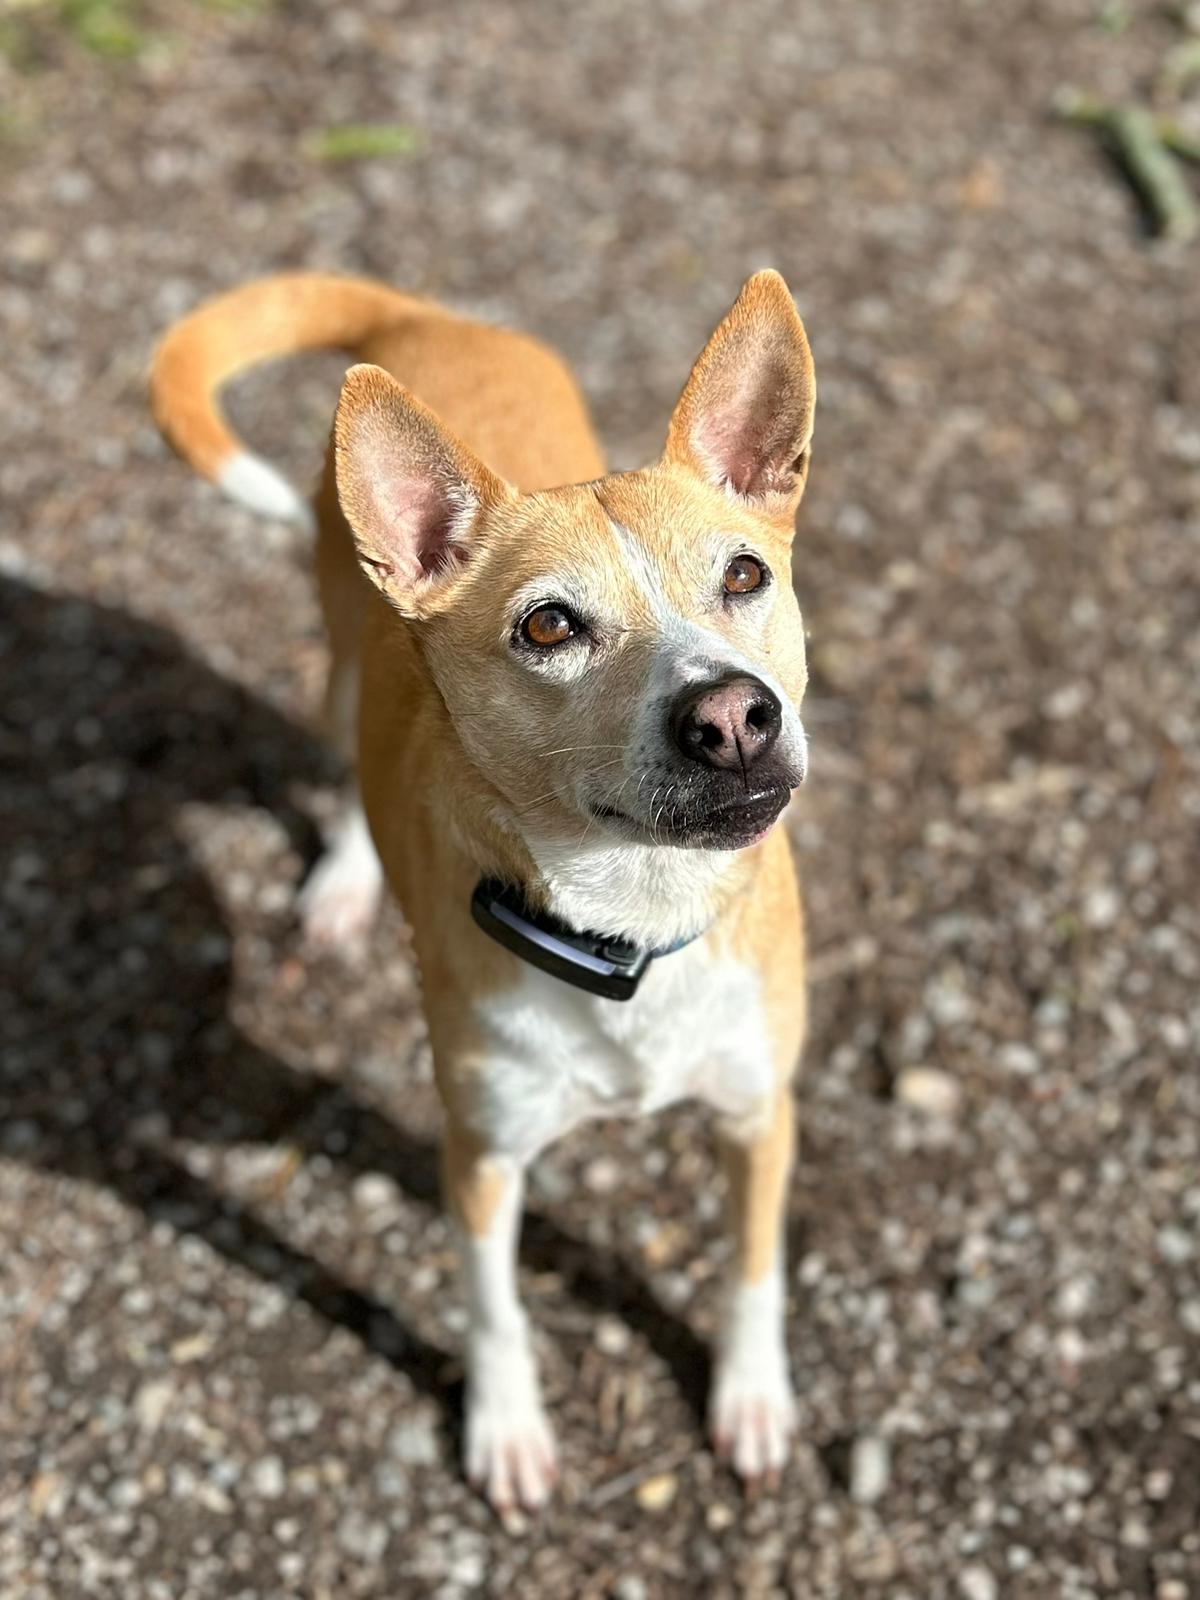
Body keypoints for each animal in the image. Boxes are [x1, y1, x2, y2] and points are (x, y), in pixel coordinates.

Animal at [152, 269, 815, 1512]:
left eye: (744, 575)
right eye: (549, 625)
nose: (733, 717)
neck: (634, 919)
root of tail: (424, 318)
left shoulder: (760, 1111)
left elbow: (753, 1269)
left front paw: (752, 1399)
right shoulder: (482, 1154)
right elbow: (495, 1306)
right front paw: (504, 1429)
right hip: (343, 651)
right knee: (345, 755)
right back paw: (344, 882)